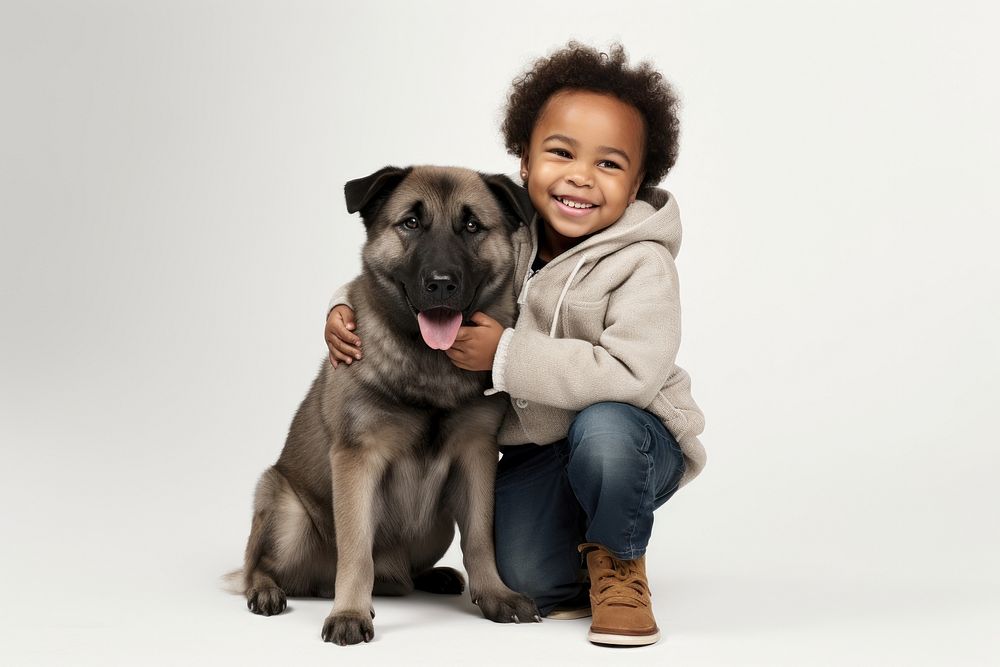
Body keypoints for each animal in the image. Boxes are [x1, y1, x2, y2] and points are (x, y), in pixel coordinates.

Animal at [229, 164, 540, 644]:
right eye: (410, 223)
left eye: (472, 226)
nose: (441, 284)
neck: (429, 364)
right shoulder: (359, 460)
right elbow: (357, 550)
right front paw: (350, 613)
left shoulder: (476, 457)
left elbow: (479, 538)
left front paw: (495, 595)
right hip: (286, 509)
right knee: (258, 566)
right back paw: (266, 591)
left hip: (435, 525)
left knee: (408, 572)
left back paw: (430, 577)